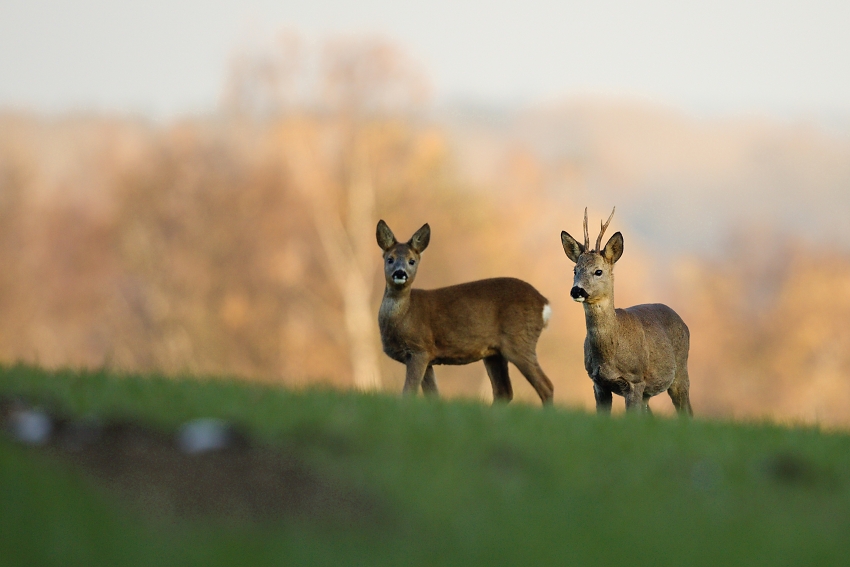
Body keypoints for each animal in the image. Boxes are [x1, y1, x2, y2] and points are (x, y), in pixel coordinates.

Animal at [376, 220, 554, 405]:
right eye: (390, 259)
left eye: (412, 261)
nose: (400, 273)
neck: (405, 316)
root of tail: (544, 303)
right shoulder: (427, 357)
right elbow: (433, 394)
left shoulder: (420, 349)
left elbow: (408, 391)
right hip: (495, 353)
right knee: (504, 391)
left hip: (519, 340)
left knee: (546, 386)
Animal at [560, 208, 692, 416]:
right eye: (575, 270)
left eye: (598, 271)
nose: (577, 290)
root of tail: (682, 322)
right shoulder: (598, 382)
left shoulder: (635, 380)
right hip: (649, 392)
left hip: (680, 371)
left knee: (687, 411)